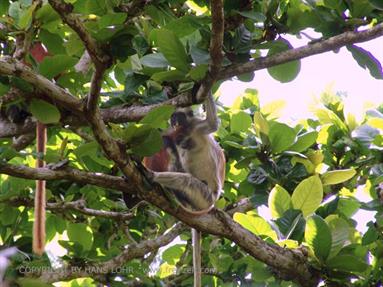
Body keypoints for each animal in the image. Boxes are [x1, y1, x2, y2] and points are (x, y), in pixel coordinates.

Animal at [146, 93, 226, 287]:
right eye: (173, 118)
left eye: (179, 117)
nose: (175, 122)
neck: (187, 133)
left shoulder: (196, 126)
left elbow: (213, 123)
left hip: (205, 196)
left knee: (186, 181)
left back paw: (152, 176)